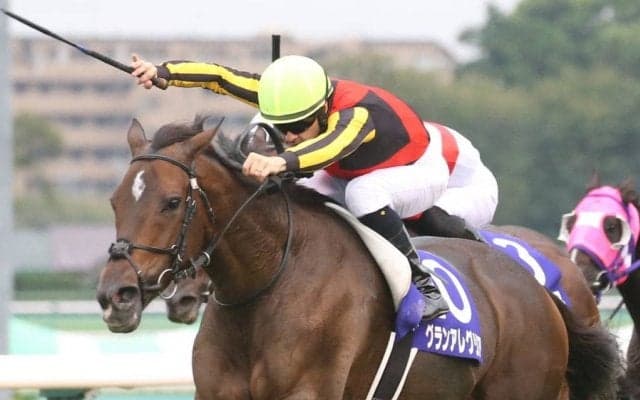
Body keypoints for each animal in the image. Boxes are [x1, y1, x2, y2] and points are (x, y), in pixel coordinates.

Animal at [96, 116, 619, 399]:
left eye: (171, 202)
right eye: (115, 201)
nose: (115, 295)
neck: (270, 282)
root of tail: (540, 290)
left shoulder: (308, 390)